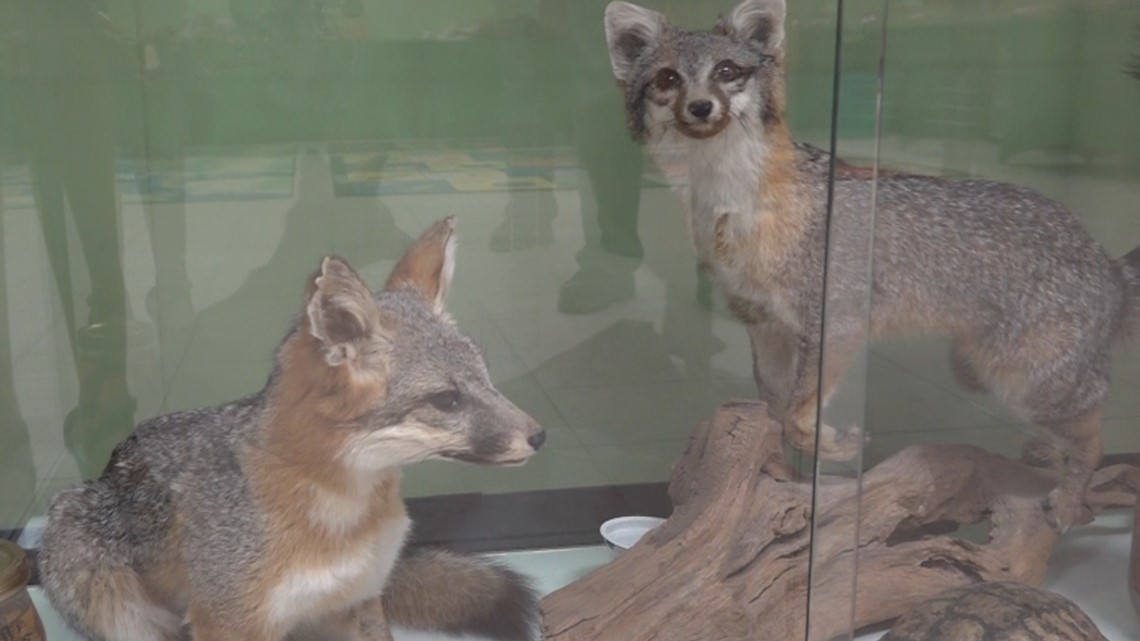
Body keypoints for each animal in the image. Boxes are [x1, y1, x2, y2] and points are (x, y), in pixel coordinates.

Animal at [37, 217, 545, 641]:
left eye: (486, 378)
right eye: (447, 400)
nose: (540, 436)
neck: (342, 515)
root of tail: (106, 468)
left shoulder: (361, 597)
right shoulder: (230, 622)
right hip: (113, 598)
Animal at [602, 0, 1140, 532]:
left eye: (727, 72)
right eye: (669, 78)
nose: (700, 107)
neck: (731, 207)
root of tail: (1105, 260)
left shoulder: (836, 325)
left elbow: (796, 416)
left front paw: (833, 445)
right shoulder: (764, 327)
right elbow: (776, 413)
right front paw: (780, 477)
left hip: (1021, 382)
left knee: (1096, 440)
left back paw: (1069, 500)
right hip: (980, 372)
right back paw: (1051, 456)